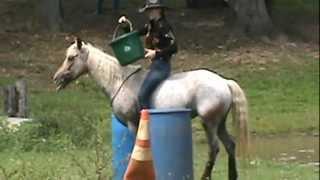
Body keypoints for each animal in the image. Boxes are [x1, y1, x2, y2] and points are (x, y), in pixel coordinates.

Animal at [52, 38, 249, 180]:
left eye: (71, 57)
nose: (56, 78)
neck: (119, 80)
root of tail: (224, 82)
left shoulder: (133, 124)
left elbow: (132, 152)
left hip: (209, 122)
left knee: (214, 148)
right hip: (220, 123)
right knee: (230, 145)